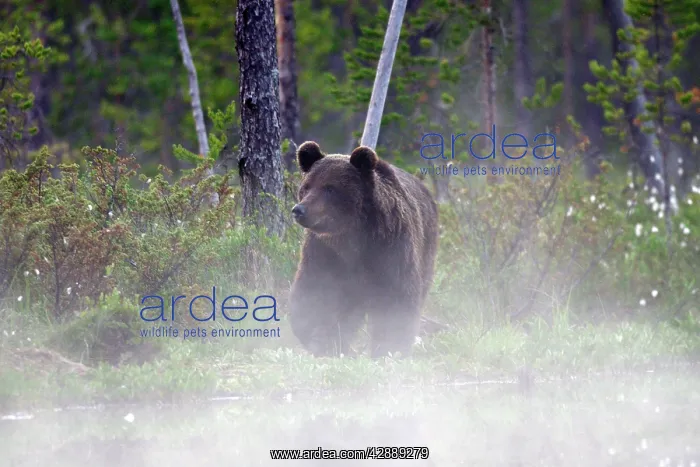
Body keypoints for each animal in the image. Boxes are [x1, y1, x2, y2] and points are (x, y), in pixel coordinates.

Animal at [287, 141, 439, 358]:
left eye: (330, 188)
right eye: (306, 186)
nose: (299, 210)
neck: (352, 237)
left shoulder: (390, 246)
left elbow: (395, 296)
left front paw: (389, 346)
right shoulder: (324, 253)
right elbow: (316, 293)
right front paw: (323, 340)